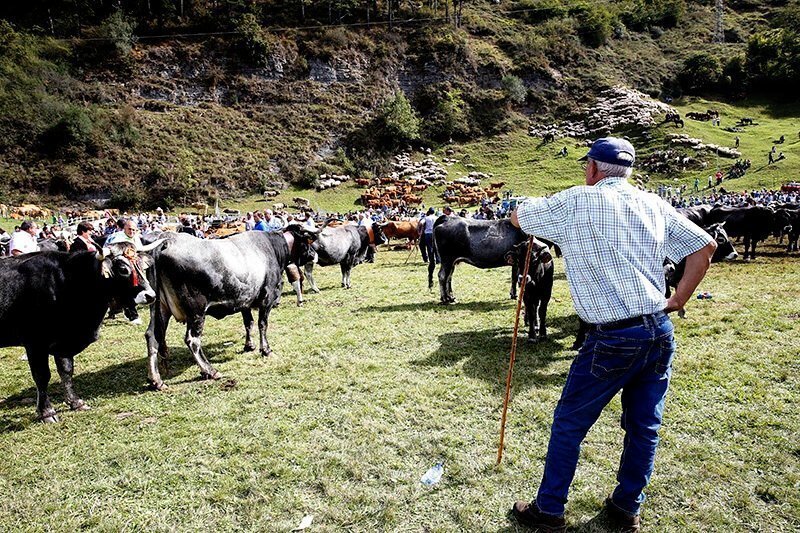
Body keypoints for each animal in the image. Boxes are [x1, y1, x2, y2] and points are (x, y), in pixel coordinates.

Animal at [0, 242, 161, 421]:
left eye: (140, 265)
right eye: (123, 269)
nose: (151, 295)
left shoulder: (64, 340)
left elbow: (66, 370)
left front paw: (75, 402)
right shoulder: (35, 343)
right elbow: (42, 376)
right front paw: (47, 412)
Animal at [143, 225, 319, 390]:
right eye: (308, 242)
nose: (314, 255)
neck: (272, 247)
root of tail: (167, 239)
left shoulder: (245, 300)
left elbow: (249, 323)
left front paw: (249, 345)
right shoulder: (267, 298)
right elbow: (262, 324)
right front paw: (265, 349)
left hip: (159, 308)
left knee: (152, 336)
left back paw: (156, 380)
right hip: (196, 311)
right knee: (192, 340)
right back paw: (210, 371)